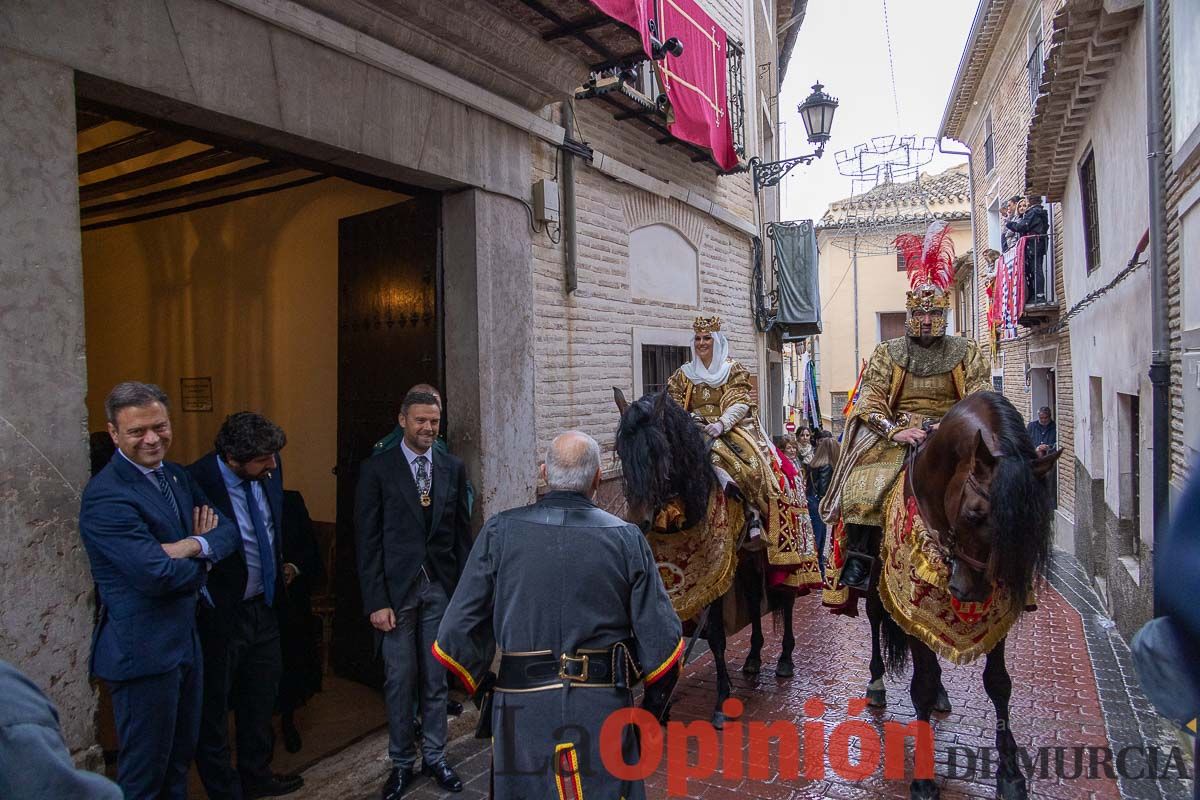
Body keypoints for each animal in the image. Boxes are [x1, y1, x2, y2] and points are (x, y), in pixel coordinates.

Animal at [868, 391, 1065, 796]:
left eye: (1029, 526)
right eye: (974, 513)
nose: (969, 591)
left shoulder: (998, 618)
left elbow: (999, 684)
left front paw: (1010, 773)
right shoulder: (911, 608)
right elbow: (922, 685)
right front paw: (923, 779)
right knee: (875, 620)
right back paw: (876, 683)